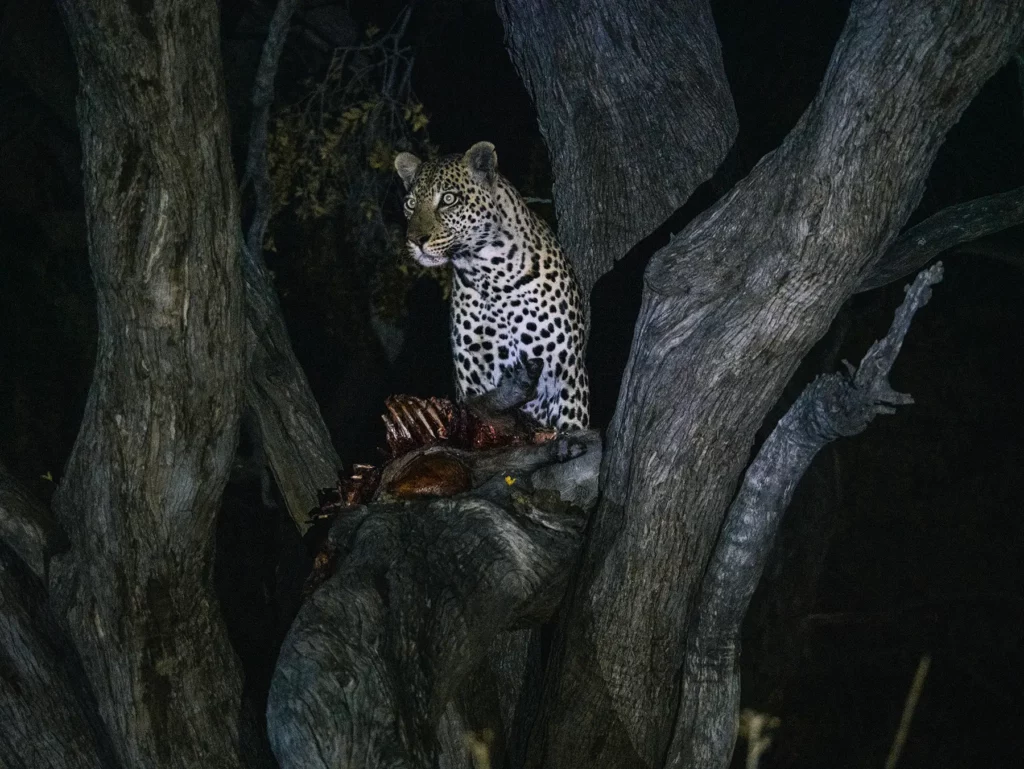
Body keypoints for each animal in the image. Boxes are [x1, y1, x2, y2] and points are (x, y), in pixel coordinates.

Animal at [394, 141, 589, 431]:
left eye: (448, 199)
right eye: (410, 204)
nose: (416, 240)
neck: (491, 276)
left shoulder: (568, 375)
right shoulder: (472, 377)